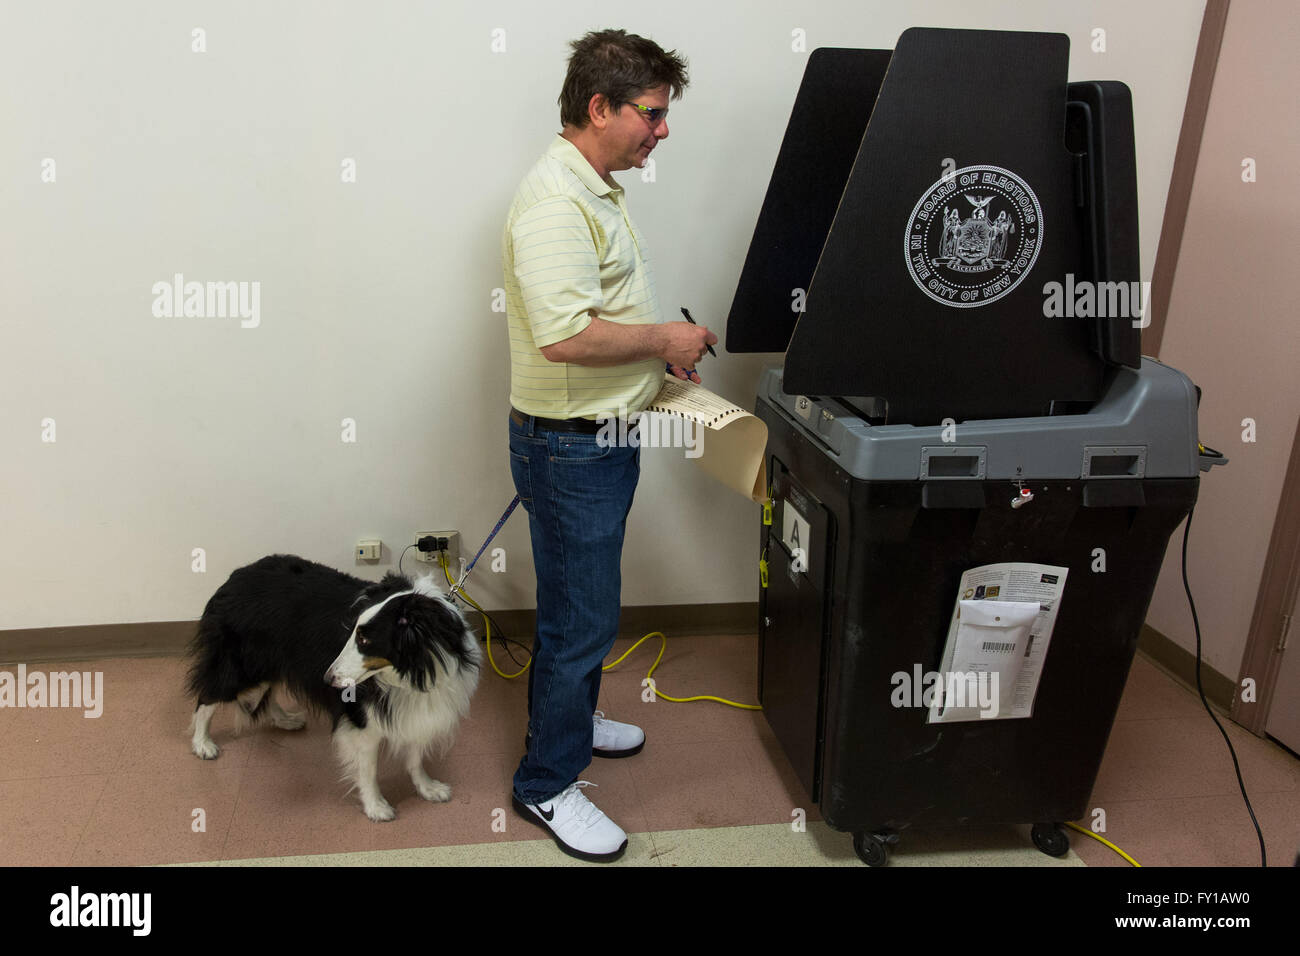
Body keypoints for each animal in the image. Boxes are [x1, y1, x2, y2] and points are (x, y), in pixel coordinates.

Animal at [184, 554, 483, 822]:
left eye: (364, 640)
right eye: (352, 633)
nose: (328, 680)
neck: (414, 668)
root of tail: (235, 576)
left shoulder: (419, 704)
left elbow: (415, 755)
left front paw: (428, 788)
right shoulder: (360, 715)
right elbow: (368, 766)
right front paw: (376, 807)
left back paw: (286, 720)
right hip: (244, 660)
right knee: (209, 695)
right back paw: (203, 744)